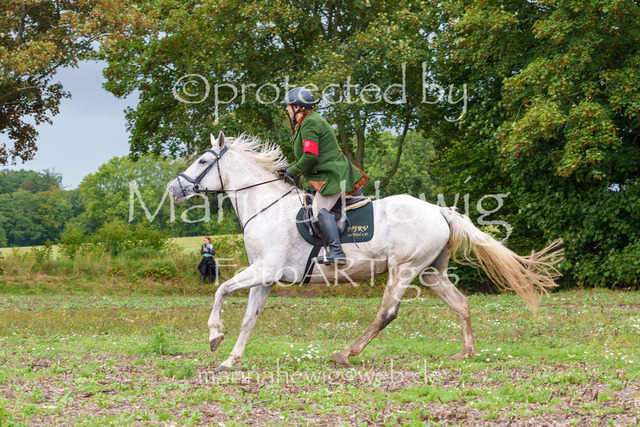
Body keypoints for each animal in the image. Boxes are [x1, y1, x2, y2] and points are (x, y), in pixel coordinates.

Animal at [168, 132, 562, 372]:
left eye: (202, 161)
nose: (174, 189)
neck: (266, 206)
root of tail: (439, 211)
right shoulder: (265, 278)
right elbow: (250, 318)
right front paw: (230, 360)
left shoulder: (265, 270)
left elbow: (220, 289)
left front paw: (214, 336)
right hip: (430, 273)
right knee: (461, 304)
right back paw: (464, 353)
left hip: (403, 269)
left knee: (386, 313)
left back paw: (346, 353)